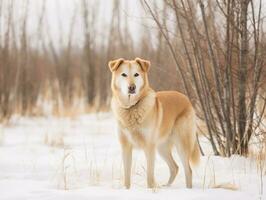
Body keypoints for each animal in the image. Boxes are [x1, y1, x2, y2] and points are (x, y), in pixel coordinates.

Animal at [108, 57, 200, 189]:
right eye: (123, 74)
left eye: (136, 74)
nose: (132, 87)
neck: (132, 107)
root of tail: (185, 97)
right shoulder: (126, 146)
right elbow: (127, 175)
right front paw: (127, 189)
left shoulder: (149, 147)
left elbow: (150, 176)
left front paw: (151, 190)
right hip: (162, 148)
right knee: (175, 167)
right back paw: (166, 186)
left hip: (181, 144)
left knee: (188, 170)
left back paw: (188, 189)